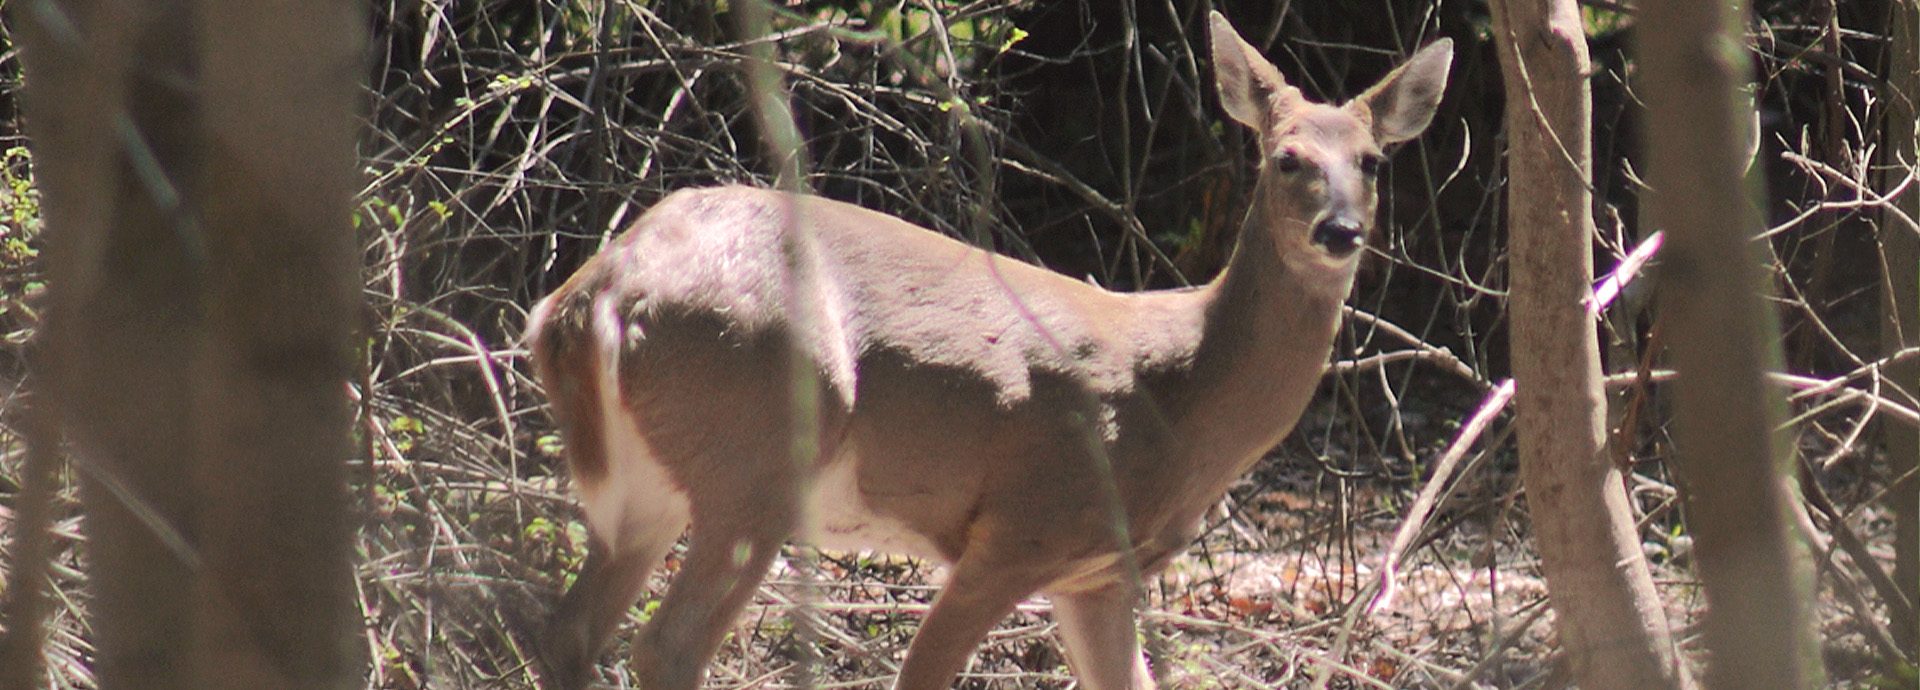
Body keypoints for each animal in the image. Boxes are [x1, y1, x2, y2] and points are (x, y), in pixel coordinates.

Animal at [526, 11, 1450, 690]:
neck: (1180, 399)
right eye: (1286, 157)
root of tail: (595, 295)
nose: (1341, 231)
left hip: (655, 485)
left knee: (569, 631)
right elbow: (922, 672)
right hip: (761, 446)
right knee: (665, 647)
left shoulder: (1098, 571)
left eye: (1372, 160)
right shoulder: (1019, 529)